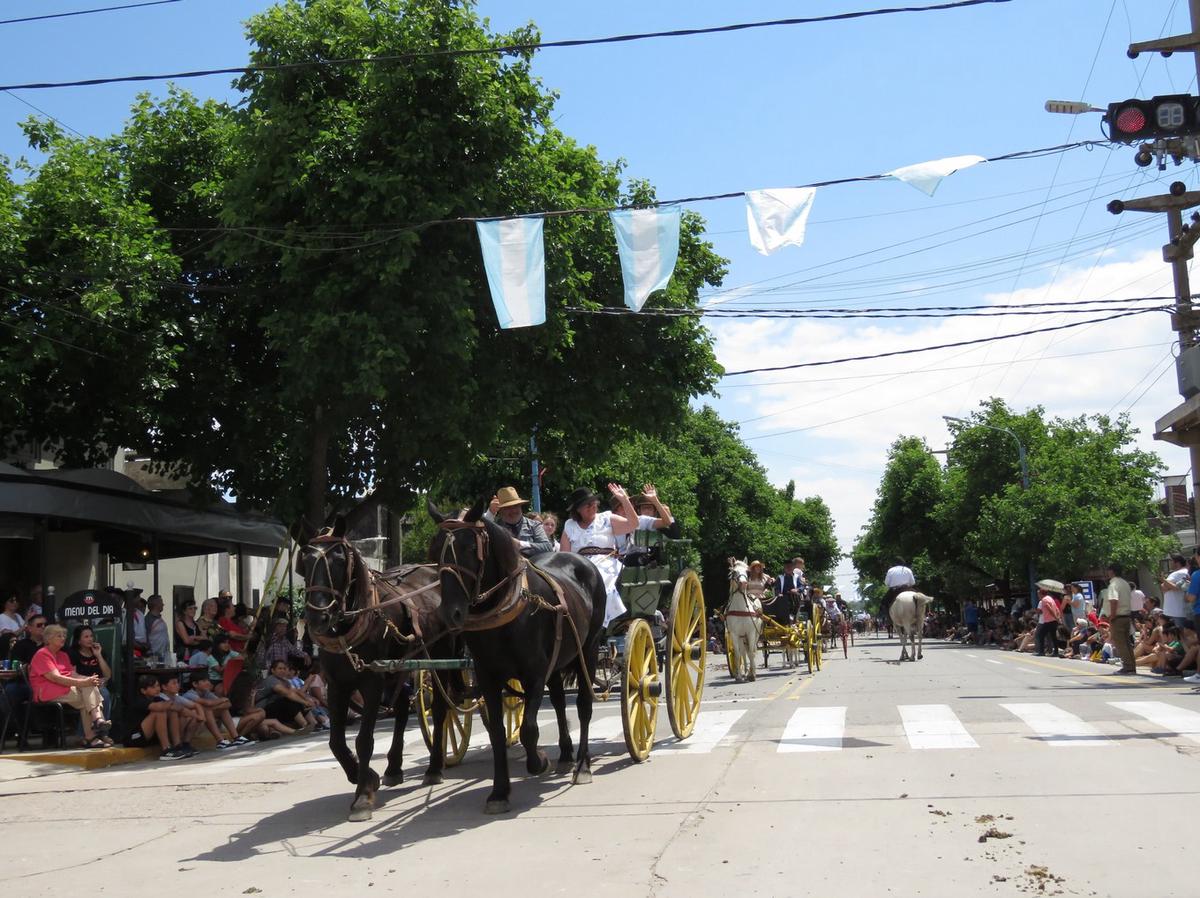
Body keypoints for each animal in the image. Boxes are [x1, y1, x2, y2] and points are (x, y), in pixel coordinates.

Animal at [297, 518, 456, 821]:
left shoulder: (372, 682)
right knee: (403, 707)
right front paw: (364, 775)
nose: (318, 617)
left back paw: (434, 767)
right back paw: (393, 767)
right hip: (399, 667)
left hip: (440, 657)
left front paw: (362, 796)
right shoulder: (337, 684)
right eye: (304, 561)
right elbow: (336, 741)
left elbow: (364, 740)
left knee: (442, 708)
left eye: (339, 560)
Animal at [427, 497, 604, 811]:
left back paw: (582, 766)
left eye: (469, 548)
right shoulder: (488, 676)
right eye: (435, 550)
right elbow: (498, 733)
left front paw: (539, 762)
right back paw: (565, 755)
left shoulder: (534, 673)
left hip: (589, 649)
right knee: (559, 702)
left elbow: (529, 728)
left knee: (583, 705)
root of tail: (583, 561)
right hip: (557, 661)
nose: (450, 614)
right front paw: (499, 791)